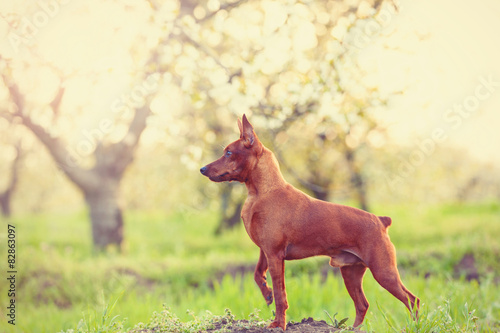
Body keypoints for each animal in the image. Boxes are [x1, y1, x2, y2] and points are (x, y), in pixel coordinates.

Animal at [199, 115, 418, 330]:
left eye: (228, 152)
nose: (202, 169)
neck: (262, 193)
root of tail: (381, 221)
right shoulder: (265, 251)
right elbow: (257, 275)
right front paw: (266, 293)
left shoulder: (275, 255)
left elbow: (281, 295)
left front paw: (279, 324)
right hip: (351, 273)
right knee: (362, 305)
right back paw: (351, 329)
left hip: (383, 272)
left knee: (412, 300)